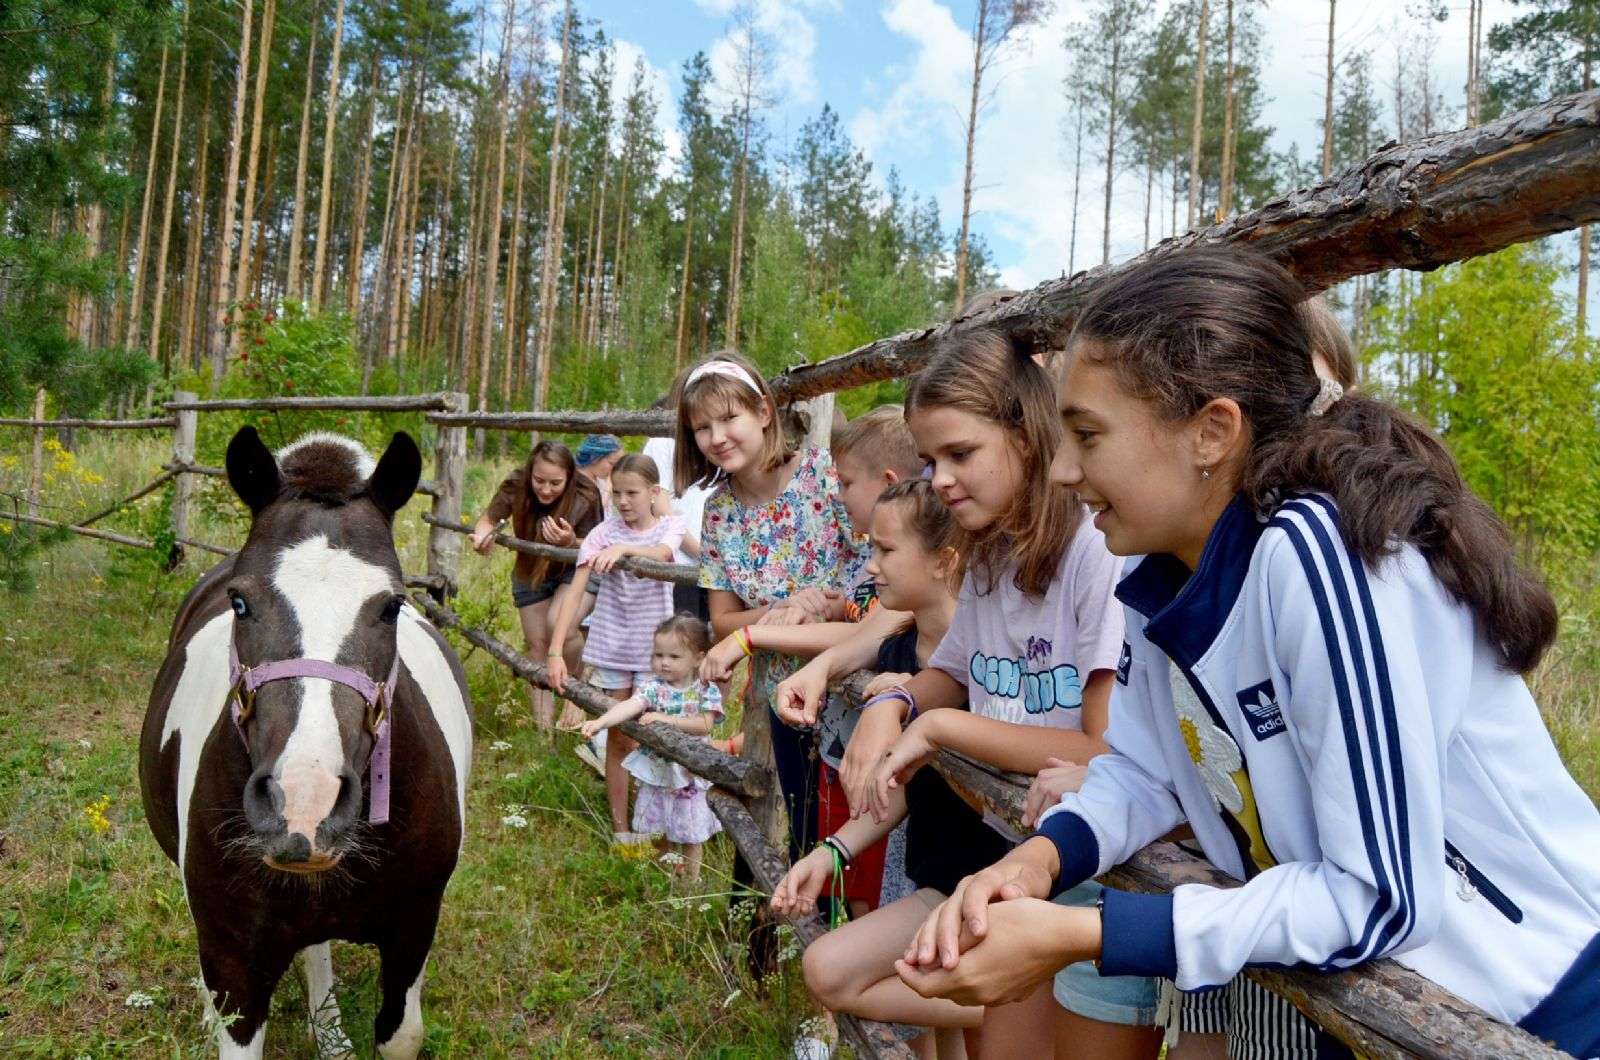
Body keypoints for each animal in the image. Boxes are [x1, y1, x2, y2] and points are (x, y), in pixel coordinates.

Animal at [139, 429, 467, 1056]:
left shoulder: (414, 930)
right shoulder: (235, 964)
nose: (303, 802)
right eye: (241, 602)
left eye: (392, 606)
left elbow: (401, 1031)